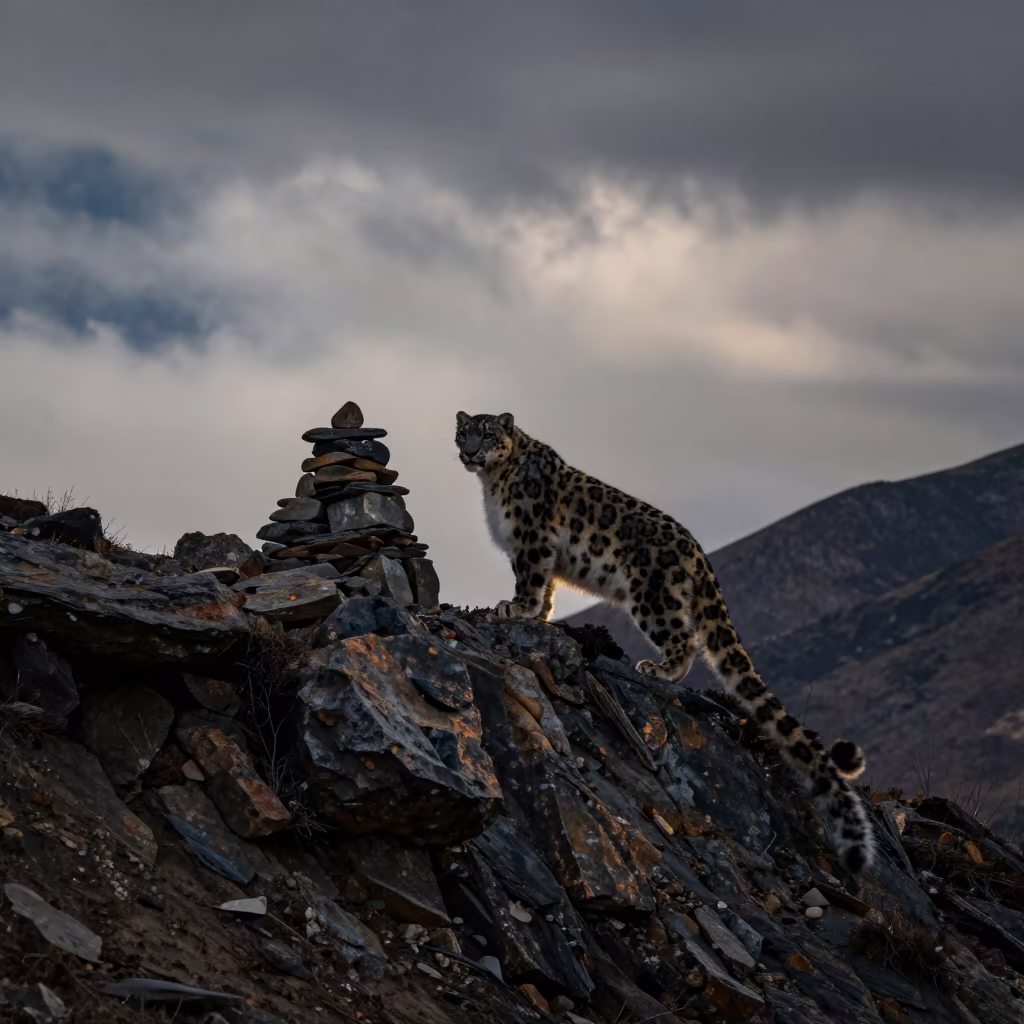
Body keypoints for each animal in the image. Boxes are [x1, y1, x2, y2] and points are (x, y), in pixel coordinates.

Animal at [455, 410, 876, 873]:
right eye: (463, 432)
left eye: (488, 434)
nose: (470, 452)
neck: (493, 481)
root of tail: (697, 551)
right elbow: (547, 587)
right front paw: (538, 613)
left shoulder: (531, 540)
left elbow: (531, 580)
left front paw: (516, 608)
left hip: (652, 597)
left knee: (685, 638)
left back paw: (658, 669)